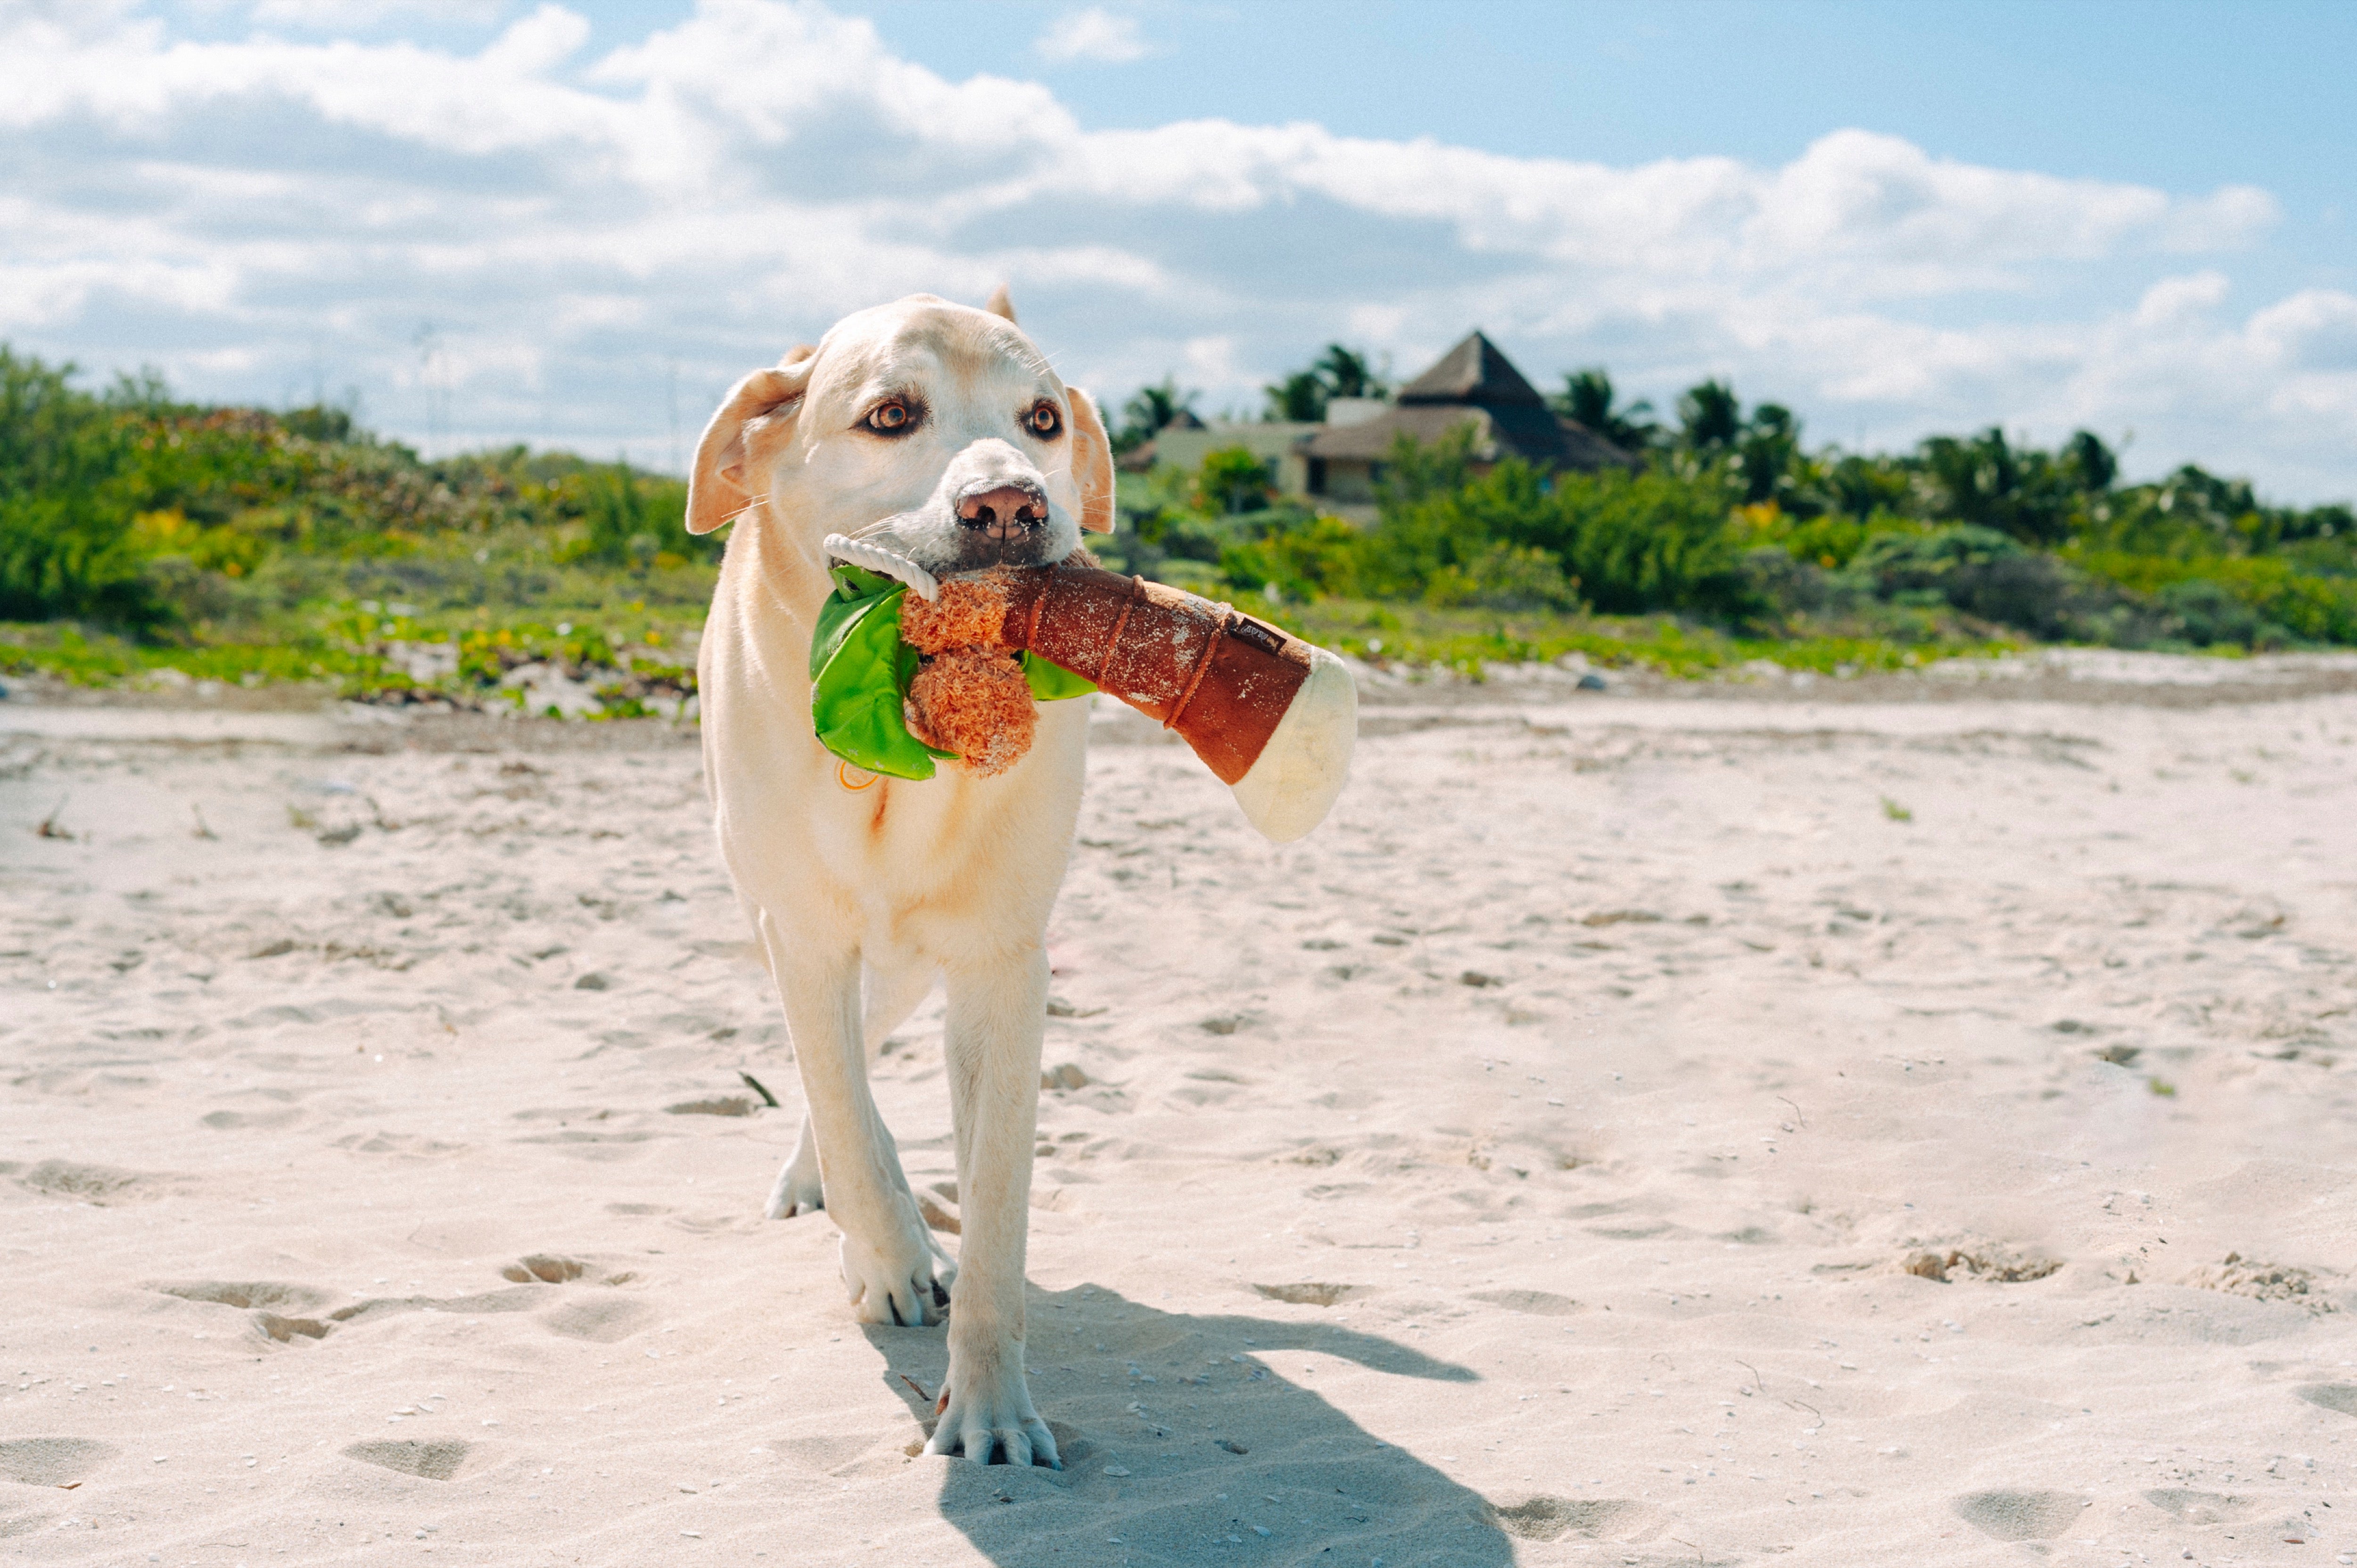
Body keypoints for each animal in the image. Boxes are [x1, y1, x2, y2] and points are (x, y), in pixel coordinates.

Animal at [684, 284, 1113, 1471]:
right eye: (891, 416)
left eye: (1042, 422)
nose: (1010, 507)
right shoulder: (801, 932)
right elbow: (842, 1112)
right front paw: (886, 1256)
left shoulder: (1001, 964)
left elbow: (999, 1204)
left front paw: (994, 1413)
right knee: (839, 1089)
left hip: (917, 965)